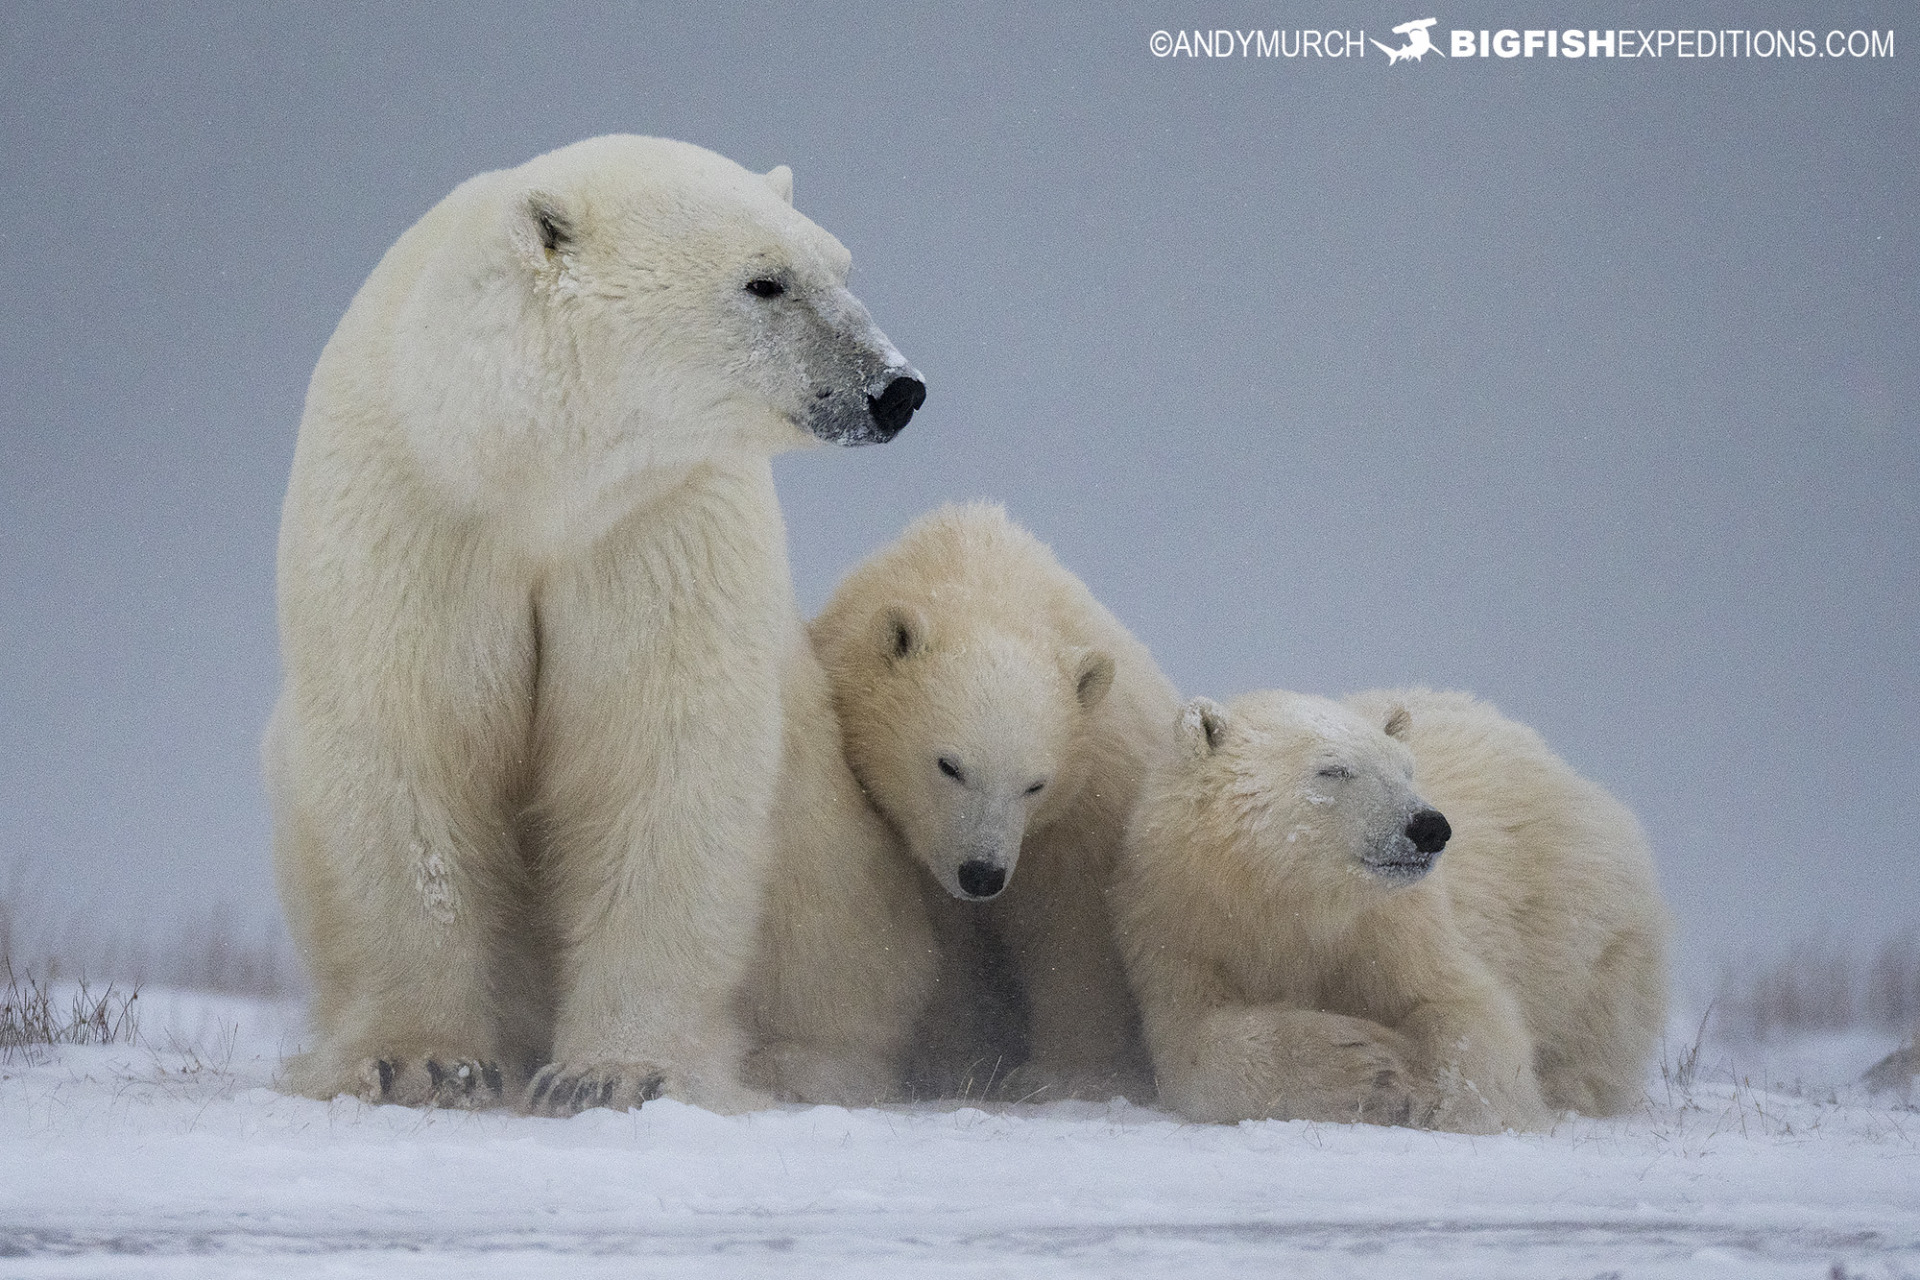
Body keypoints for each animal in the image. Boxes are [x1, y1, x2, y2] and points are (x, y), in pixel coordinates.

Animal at [268, 135, 921, 1113]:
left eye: (841, 267)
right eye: (766, 281)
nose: (896, 388)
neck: (527, 477)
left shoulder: (658, 526)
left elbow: (655, 757)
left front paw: (615, 1073)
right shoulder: (416, 513)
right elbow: (406, 751)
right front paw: (419, 1062)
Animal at [1113, 690, 1666, 1128]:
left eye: (1406, 769)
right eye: (1334, 769)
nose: (1430, 826)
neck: (1295, 901)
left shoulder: (1393, 928)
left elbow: (1464, 1008)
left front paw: (1447, 1098)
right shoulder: (1188, 929)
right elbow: (1197, 1046)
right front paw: (1369, 1070)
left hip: (1580, 917)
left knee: (1594, 1021)